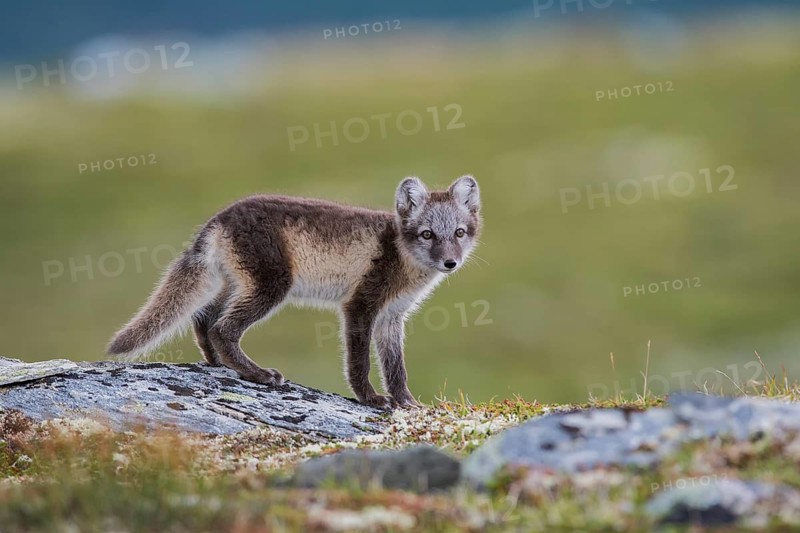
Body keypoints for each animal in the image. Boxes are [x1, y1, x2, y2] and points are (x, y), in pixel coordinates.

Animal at [107, 175, 481, 408]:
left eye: (459, 232)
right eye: (427, 234)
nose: (450, 263)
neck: (403, 257)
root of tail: (218, 218)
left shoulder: (392, 317)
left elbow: (396, 368)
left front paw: (407, 402)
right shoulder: (360, 306)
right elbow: (359, 362)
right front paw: (370, 399)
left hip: (236, 283)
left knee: (204, 319)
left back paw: (219, 364)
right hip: (271, 285)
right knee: (222, 328)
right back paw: (257, 374)